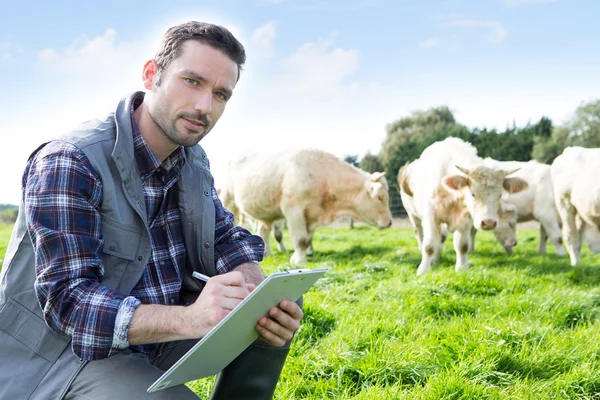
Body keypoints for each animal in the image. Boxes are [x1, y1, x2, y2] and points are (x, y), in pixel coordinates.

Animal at [220, 148, 394, 264]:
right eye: (380, 197)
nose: (390, 222)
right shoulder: (294, 211)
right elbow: (301, 239)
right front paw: (299, 261)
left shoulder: (312, 214)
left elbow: (308, 239)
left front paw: (305, 255)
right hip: (229, 200)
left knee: (263, 232)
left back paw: (267, 254)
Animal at [400, 138, 528, 276]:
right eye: (472, 193)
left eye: (500, 195)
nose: (488, 222)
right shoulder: (431, 217)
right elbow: (429, 246)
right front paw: (423, 270)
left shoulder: (466, 220)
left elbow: (462, 246)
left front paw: (461, 269)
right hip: (413, 214)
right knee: (420, 233)